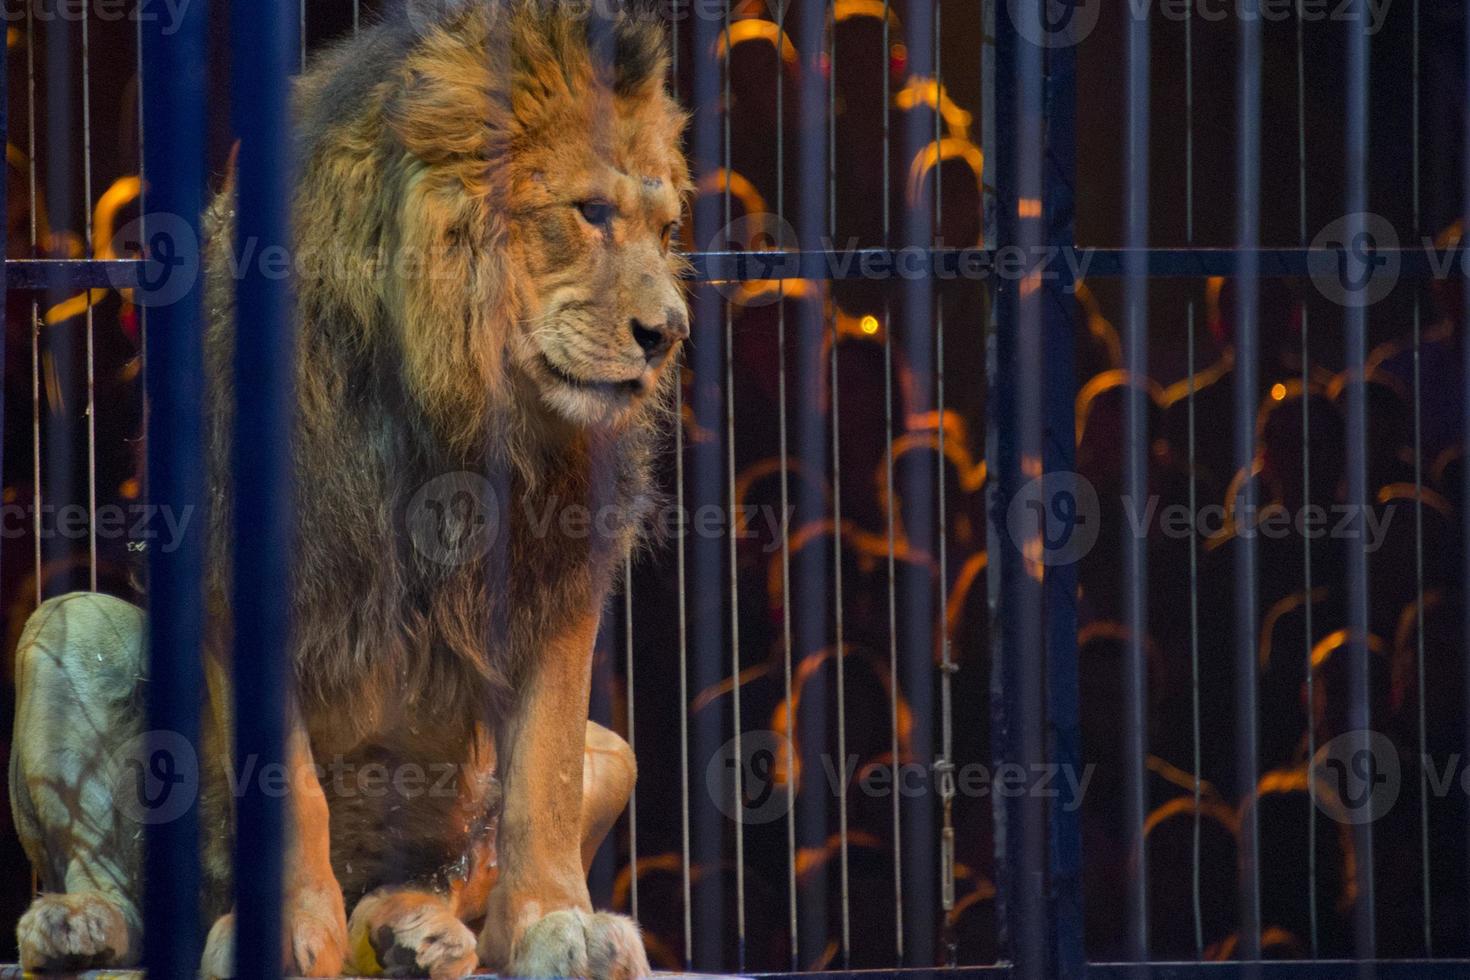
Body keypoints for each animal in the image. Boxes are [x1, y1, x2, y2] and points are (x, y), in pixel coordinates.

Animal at [10, 3, 687, 975]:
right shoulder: (236, 560)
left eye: (668, 233)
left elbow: (542, 777)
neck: (452, 395)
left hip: (614, 752)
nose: (669, 332)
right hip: (63, 625)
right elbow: (289, 789)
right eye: (591, 213)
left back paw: (416, 929)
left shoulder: (558, 577)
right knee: (123, 887)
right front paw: (283, 931)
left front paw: (559, 923)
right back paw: (79, 928)